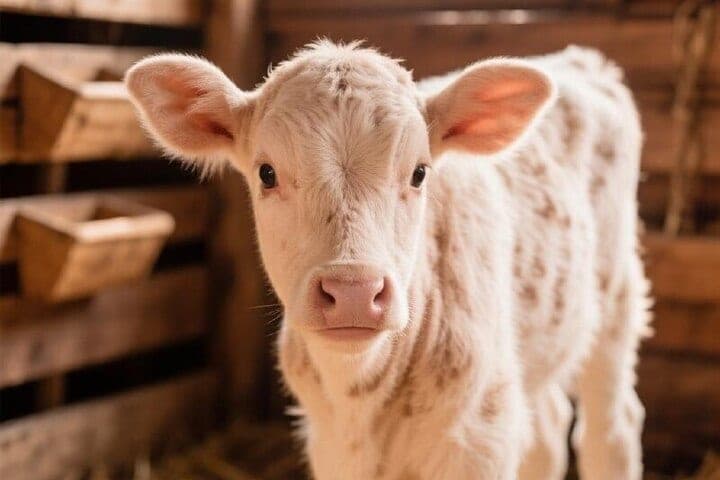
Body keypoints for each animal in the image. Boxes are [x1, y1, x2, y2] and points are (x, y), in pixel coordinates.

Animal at [125, 40, 651, 480]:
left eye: (419, 172)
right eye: (267, 173)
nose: (353, 292)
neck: (363, 400)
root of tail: (581, 60)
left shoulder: (475, 440)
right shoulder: (331, 446)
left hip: (617, 300)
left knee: (611, 427)